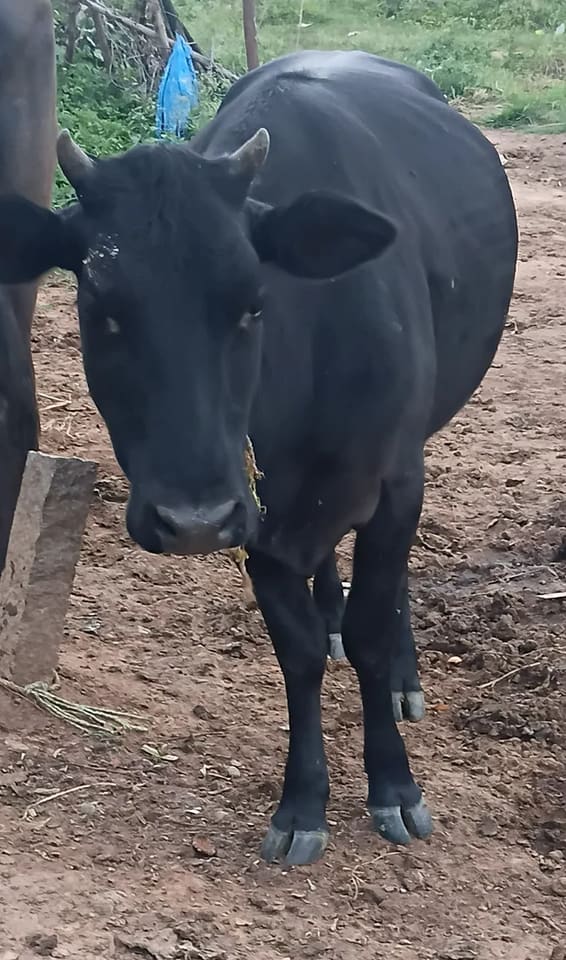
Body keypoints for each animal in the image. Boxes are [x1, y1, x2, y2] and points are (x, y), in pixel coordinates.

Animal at [0, 50, 518, 865]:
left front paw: (395, 785)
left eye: (252, 302)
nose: (192, 521)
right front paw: (303, 800)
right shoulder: (259, 520)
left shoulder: (394, 480)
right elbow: (297, 651)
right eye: (102, 310)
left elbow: (372, 631)